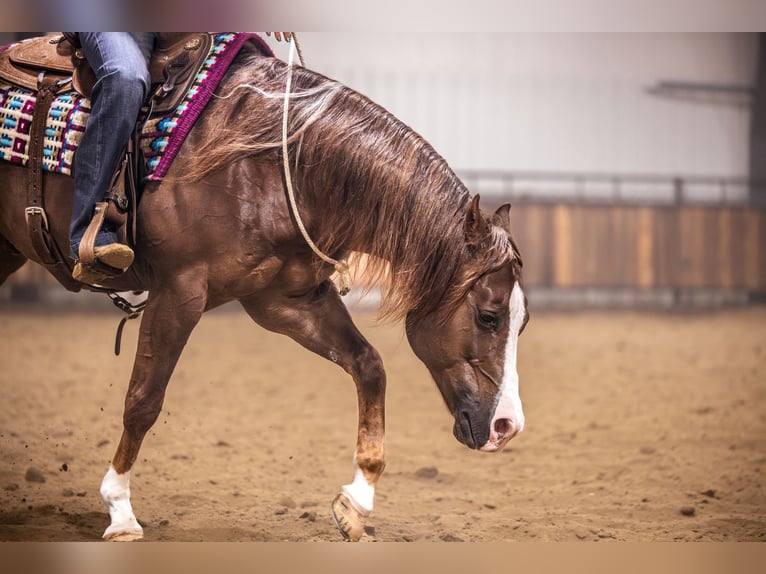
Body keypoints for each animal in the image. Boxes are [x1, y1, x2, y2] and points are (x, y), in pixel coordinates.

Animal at [0, 37, 529, 541]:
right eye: (488, 316)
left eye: (521, 324)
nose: (507, 427)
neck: (269, 164)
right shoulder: (180, 291)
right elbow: (143, 400)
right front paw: (120, 511)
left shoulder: (286, 301)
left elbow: (369, 365)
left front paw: (356, 503)